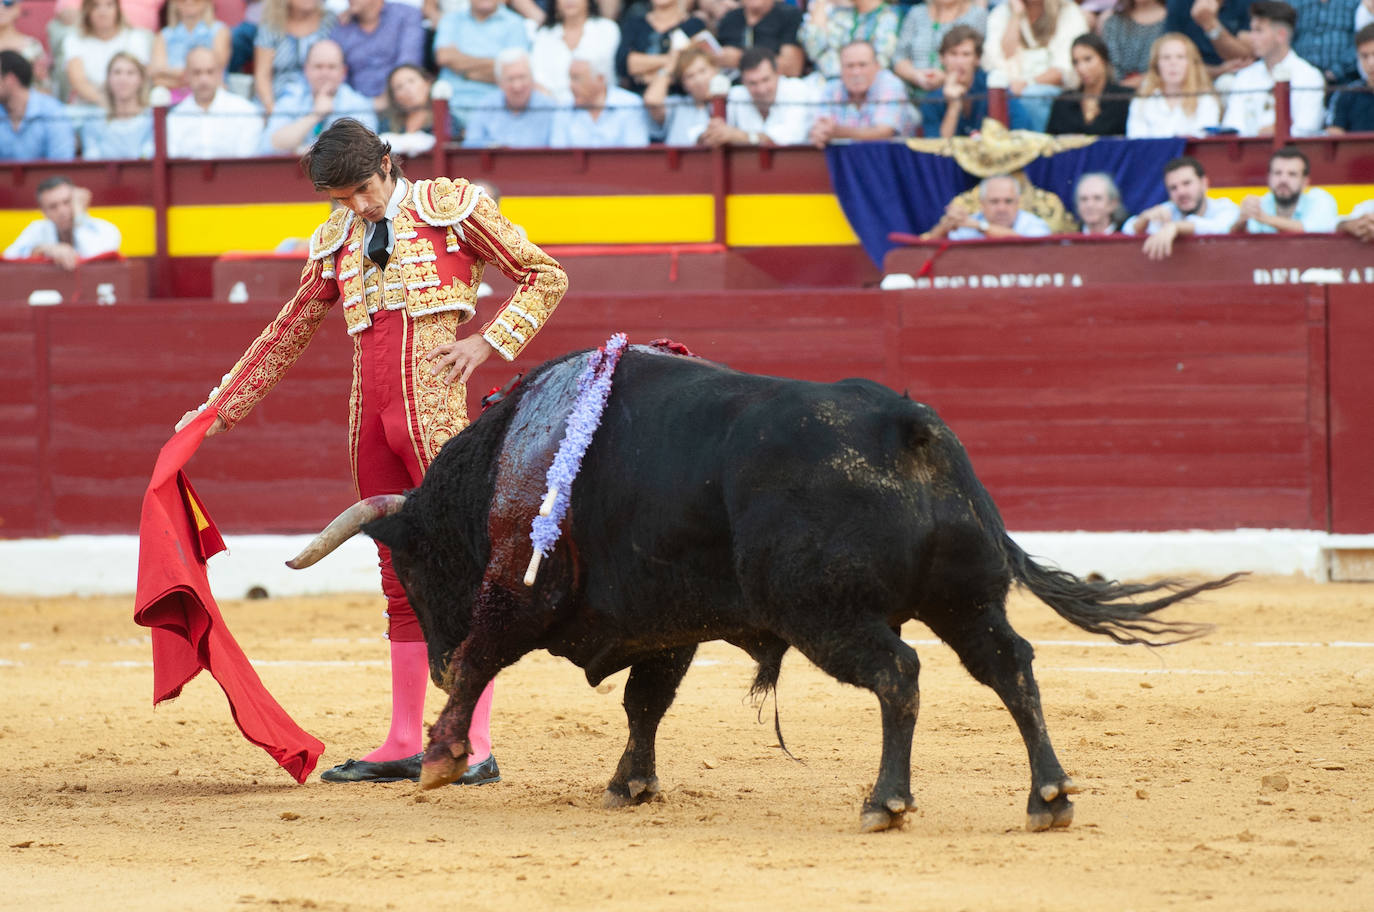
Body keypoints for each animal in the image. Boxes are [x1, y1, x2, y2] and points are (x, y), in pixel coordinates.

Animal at [295, 347, 1242, 835]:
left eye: (416, 568)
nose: (433, 659)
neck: (505, 463)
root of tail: (909, 425)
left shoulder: (518, 593)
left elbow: (491, 653)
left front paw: (440, 759)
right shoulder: (666, 624)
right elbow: (646, 703)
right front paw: (629, 784)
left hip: (827, 613)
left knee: (900, 674)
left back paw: (885, 801)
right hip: (966, 601)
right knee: (1010, 666)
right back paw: (1048, 797)